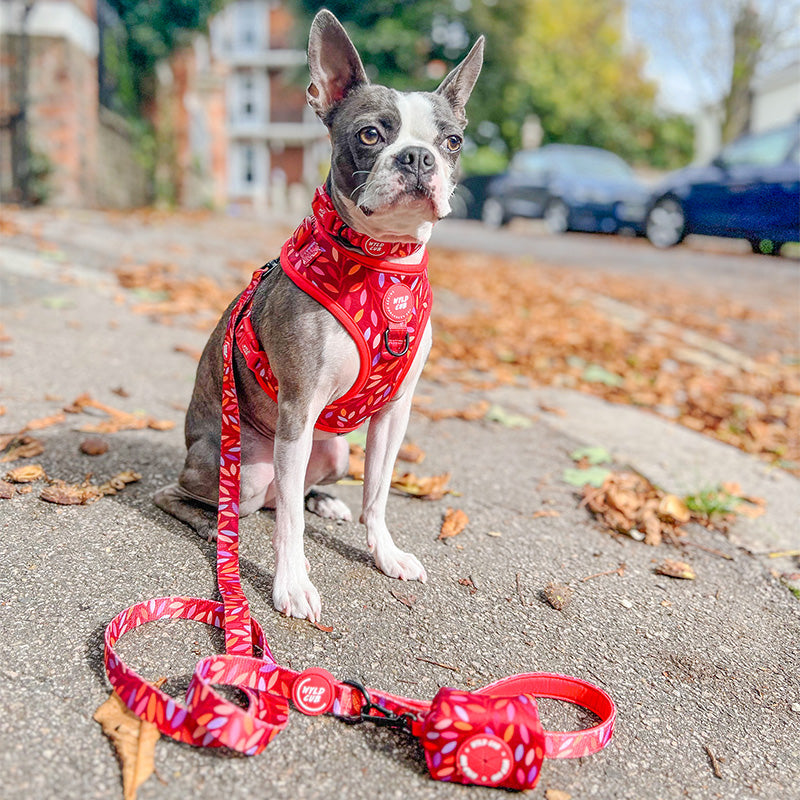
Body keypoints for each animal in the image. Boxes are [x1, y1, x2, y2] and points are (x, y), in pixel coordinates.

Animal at [154, 12, 484, 624]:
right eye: (370, 135)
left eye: (451, 141)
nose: (417, 157)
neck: (383, 264)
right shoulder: (298, 405)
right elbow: (289, 526)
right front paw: (291, 584)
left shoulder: (394, 414)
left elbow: (377, 496)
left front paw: (384, 553)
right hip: (248, 465)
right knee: (202, 498)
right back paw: (215, 528)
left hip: (333, 449)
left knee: (292, 493)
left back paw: (324, 500)